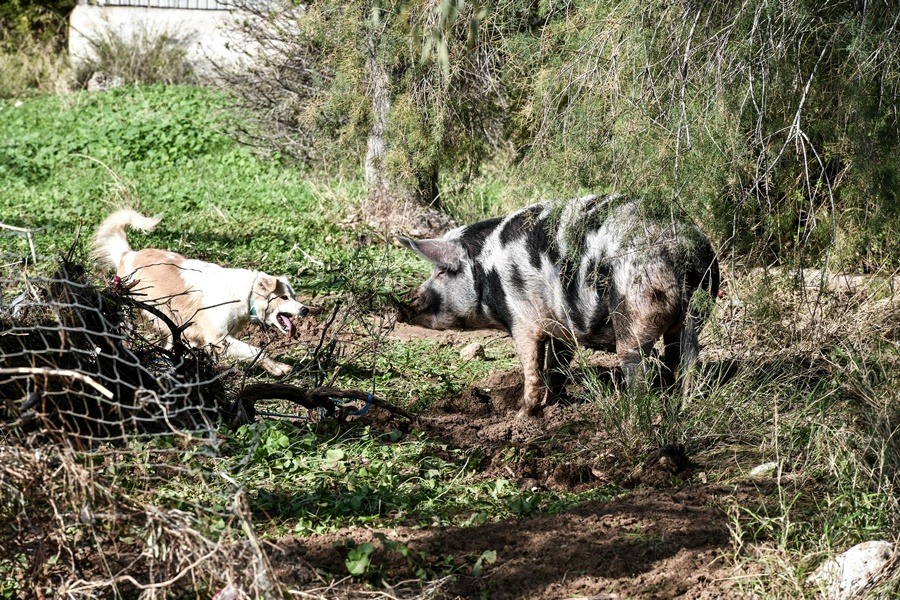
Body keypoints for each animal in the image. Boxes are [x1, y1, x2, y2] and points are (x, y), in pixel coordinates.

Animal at [92, 207, 308, 376]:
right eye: (283, 297)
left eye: (294, 297)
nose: (305, 310)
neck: (244, 295)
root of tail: (128, 254)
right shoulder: (219, 338)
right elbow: (256, 351)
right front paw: (278, 367)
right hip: (129, 315)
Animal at [398, 193, 720, 418]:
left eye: (442, 272)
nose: (403, 304)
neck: (487, 272)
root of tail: (678, 247)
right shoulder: (558, 324)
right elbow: (556, 366)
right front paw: (552, 406)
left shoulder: (522, 319)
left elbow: (532, 368)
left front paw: (522, 415)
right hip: (696, 310)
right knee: (685, 361)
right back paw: (682, 406)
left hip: (635, 308)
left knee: (638, 368)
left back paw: (633, 413)